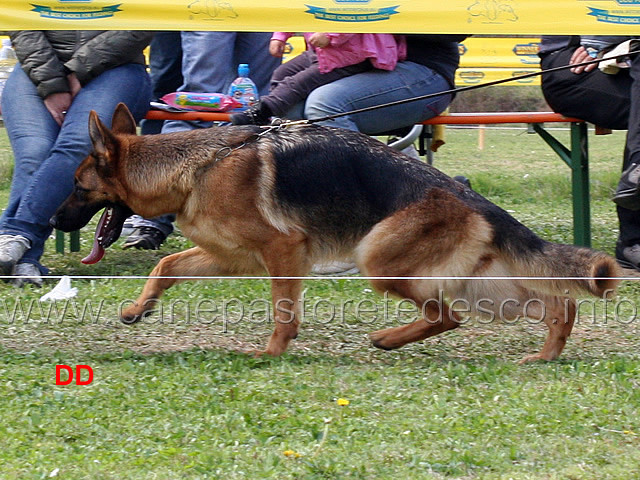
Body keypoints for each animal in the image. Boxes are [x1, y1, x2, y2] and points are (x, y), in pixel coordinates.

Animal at [52, 104, 624, 360]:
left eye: (77, 187)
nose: (54, 221)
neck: (196, 166)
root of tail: (466, 195)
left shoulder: (282, 250)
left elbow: (283, 310)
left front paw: (272, 353)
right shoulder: (232, 257)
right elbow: (166, 263)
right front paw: (137, 308)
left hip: (379, 261)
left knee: (446, 315)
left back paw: (388, 339)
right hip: (479, 286)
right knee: (551, 304)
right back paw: (546, 354)